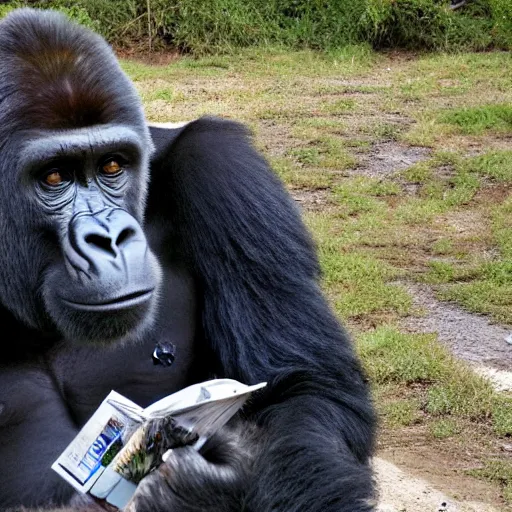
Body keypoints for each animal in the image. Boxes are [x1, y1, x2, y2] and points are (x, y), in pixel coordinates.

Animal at [0, 8, 376, 512]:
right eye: (54, 176)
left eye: (112, 166)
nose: (110, 238)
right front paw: (183, 493)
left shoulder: (220, 166)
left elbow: (306, 387)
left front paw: (196, 489)